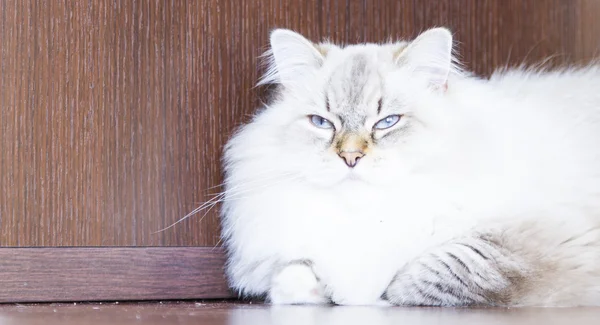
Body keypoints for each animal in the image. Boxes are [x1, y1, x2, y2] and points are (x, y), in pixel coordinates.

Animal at [220, 26, 600, 306]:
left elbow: (421, 278)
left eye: (387, 122)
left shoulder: (526, 241)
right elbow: (290, 281)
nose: (351, 157)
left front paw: (373, 296)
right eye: (322, 123)